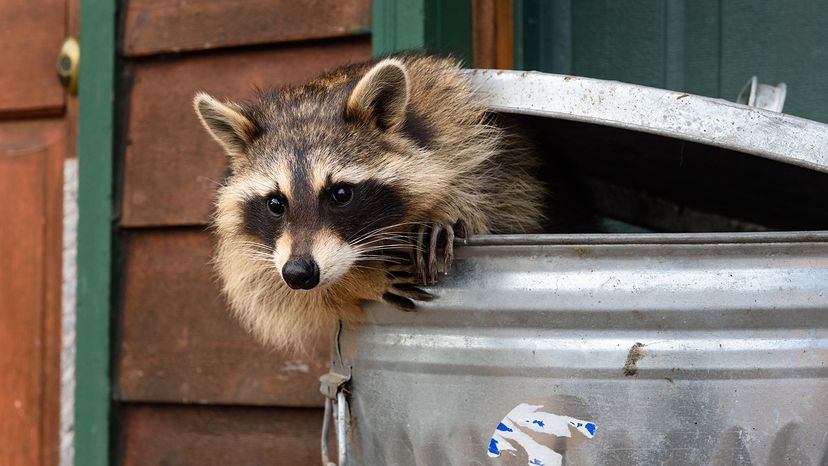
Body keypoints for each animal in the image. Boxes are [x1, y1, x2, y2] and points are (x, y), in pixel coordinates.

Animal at [194, 54, 548, 351]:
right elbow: (266, 287)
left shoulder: (464, 131)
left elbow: (492, 195)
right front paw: (359, 281)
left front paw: (446, 208)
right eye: (275, 203)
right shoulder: (255, 250)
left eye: (340, 194)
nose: (298, 273)